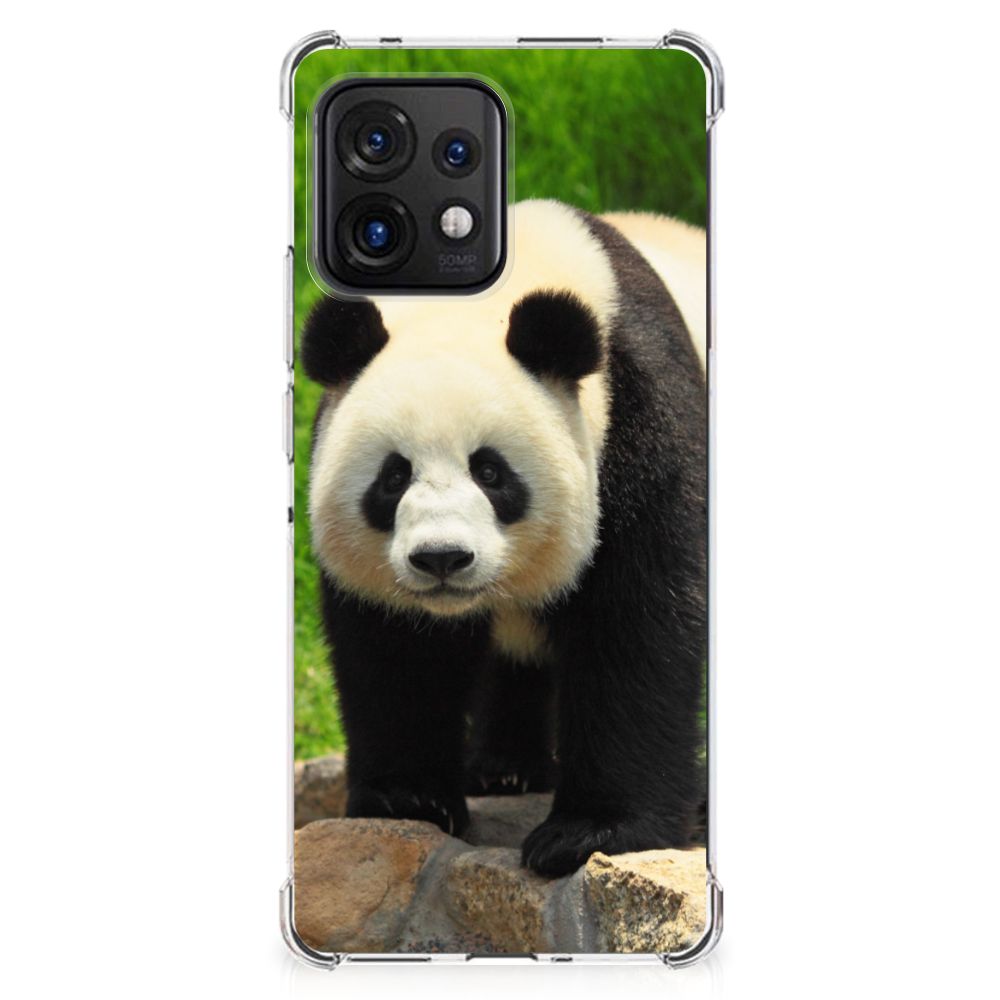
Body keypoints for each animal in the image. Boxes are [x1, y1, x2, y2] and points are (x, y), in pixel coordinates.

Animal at [302, 199, 707, 877]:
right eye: (393, 476)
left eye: (490, 472)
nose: (442, 558)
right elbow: (396, 650)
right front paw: (408, 799)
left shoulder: (642, 423)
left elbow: (639, 625)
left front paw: (589, 833)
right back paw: (504, 769)